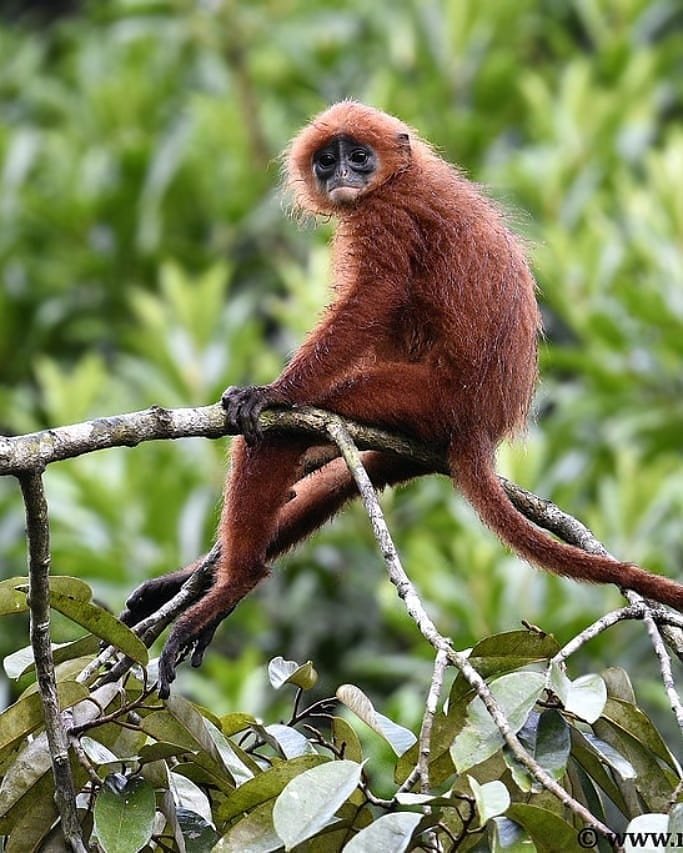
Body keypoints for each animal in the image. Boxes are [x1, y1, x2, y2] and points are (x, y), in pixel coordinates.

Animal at [125, 101, 683, 700]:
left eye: (358, 156)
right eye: (327, 160)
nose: (342, 175)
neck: (400, 179)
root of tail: (481, 426)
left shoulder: (388, 216)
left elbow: (376, 297)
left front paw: (275, 390)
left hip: (422, 398)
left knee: (281, 431)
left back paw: (237, 581)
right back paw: (197, 582)